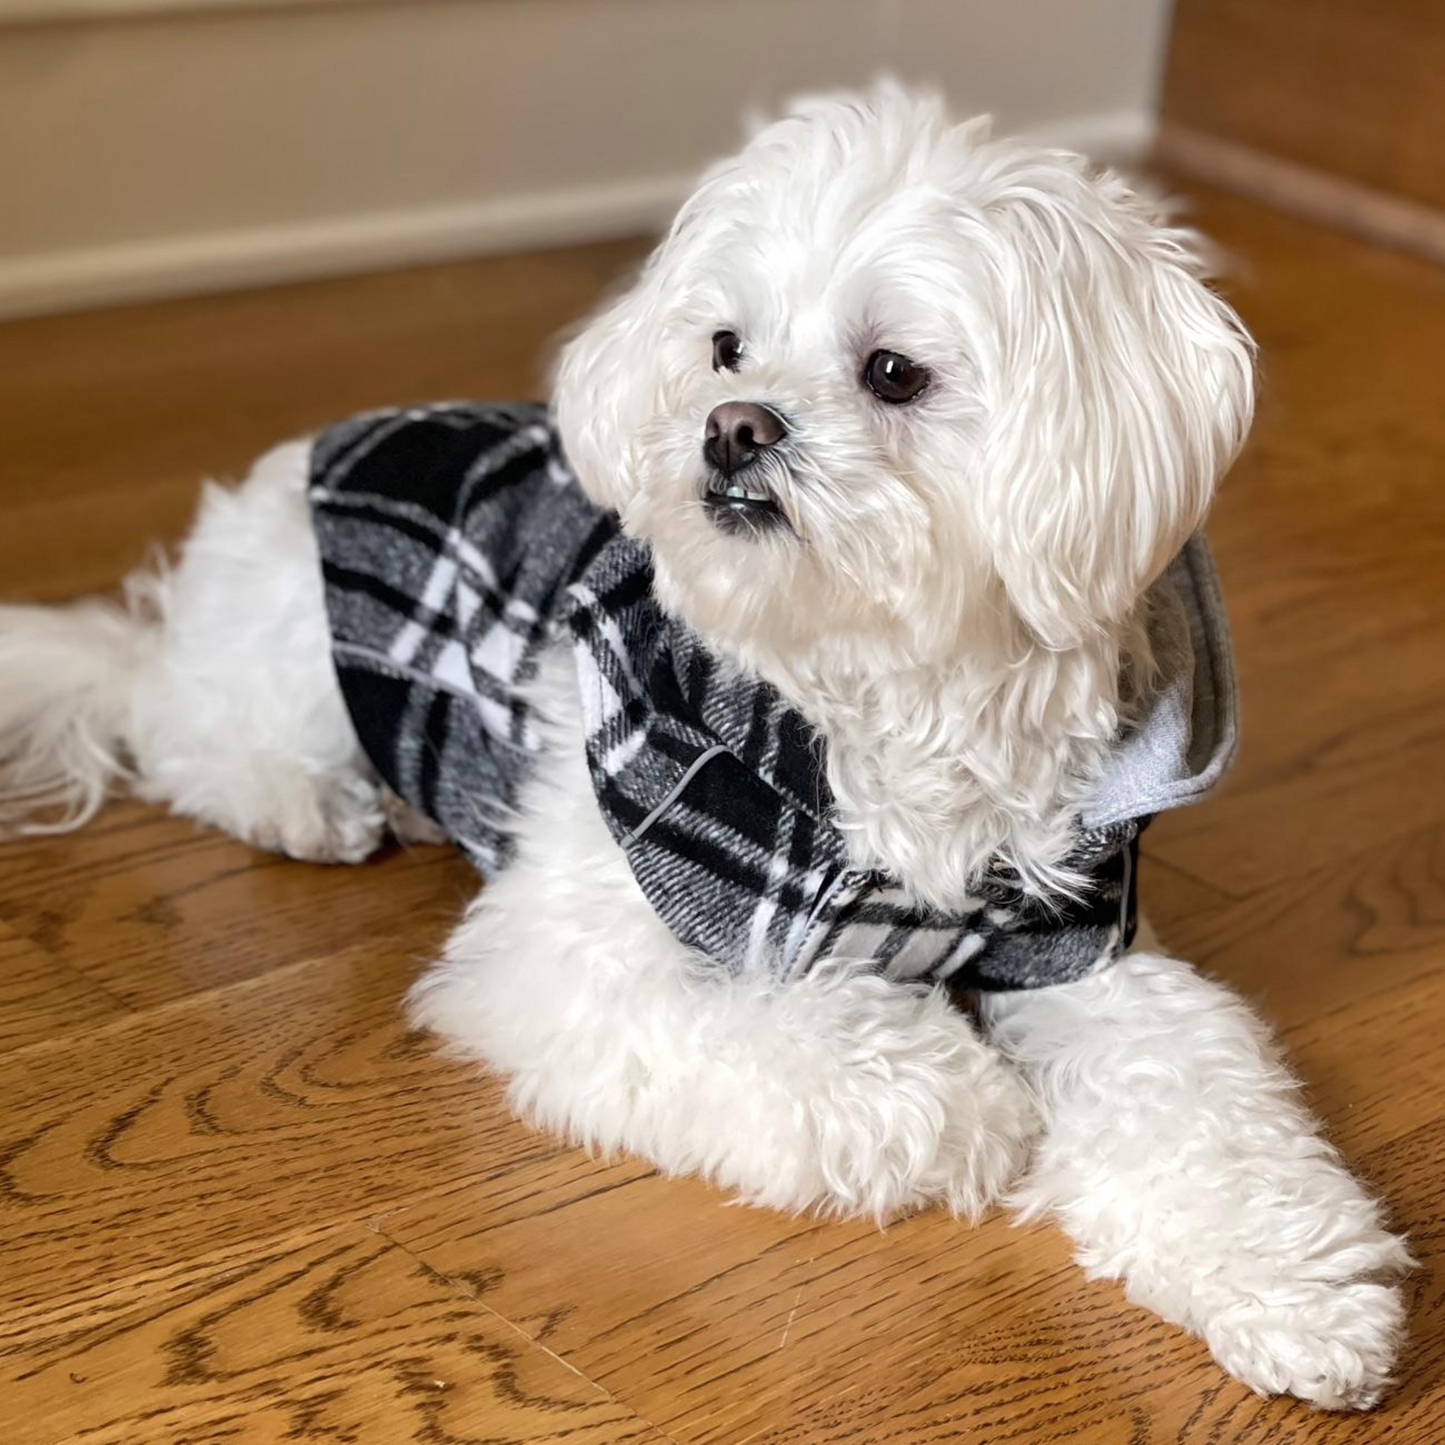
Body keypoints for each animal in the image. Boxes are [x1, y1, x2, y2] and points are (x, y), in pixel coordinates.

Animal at [0, 87, 1404, 1398]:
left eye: (893, 371)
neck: (867, 698)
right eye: (726, 346)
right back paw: (307, 799)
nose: (732, 423)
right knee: (183, 726)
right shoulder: (574, 952)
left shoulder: (1077, 943)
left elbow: (1197, 1095)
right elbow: (793, 1038)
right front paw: (962, 1103)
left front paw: (1292, 1283)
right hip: (293, 650)